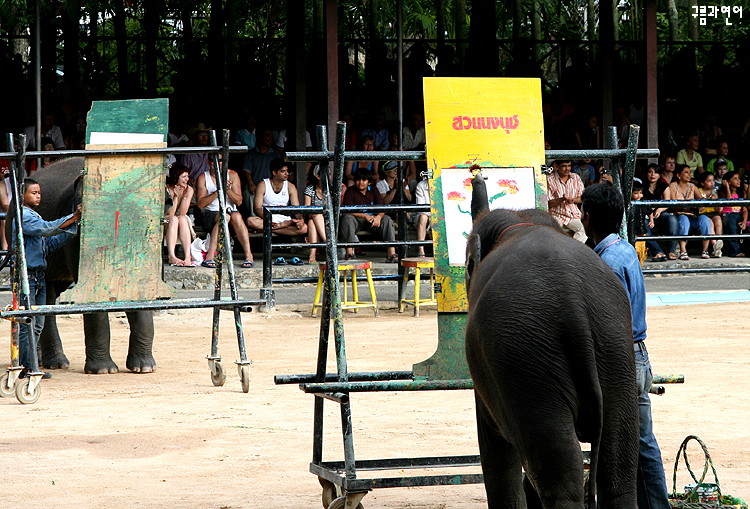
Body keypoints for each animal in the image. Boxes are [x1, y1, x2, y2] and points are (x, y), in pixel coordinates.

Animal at [464, 179, 640, 504]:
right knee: (618, 463)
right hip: (614, 348)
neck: (520, 220)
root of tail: (573, 300)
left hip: (527, 366)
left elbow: (496, 451)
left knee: (558, 473)